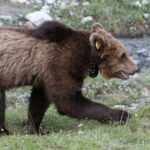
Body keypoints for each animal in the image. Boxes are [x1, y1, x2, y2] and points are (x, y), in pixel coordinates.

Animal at [0, 20, 138, 135]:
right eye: (123, 55)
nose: (135, 68)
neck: (85, 58)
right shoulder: (60, 64)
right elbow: (68, 100)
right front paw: (122, 115)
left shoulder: (44, 75)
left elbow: (39, 100)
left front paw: (36, 129)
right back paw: (5, 131)